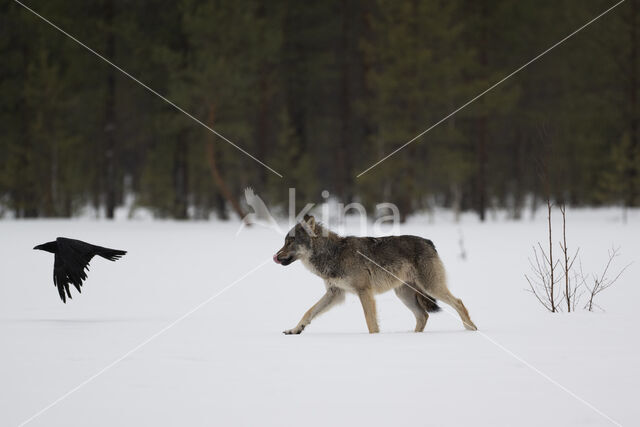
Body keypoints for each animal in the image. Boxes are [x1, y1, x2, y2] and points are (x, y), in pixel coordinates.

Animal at [272, 214, 478, 334]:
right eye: (284, 241)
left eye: (290, 242)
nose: (275, 256)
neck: (333, 254)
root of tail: (429, 242)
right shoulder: (335, 294)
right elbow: (309, 311)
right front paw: (295, 329)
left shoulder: (364, 292)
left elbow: (370, 321)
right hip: (404, 294)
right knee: (423, 316)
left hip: (431, 288)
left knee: (458, 302)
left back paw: (471, 328)